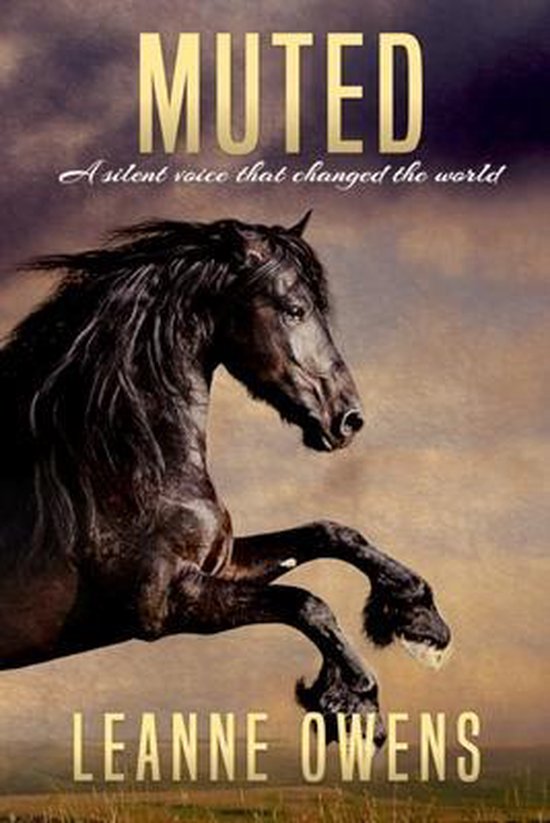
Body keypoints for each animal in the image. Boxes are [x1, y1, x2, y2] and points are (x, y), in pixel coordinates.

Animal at [0, 212, 450, 745]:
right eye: (295, 309)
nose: (348, 419)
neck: (113, 467)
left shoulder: (220, 564)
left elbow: (329, 534)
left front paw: (419, 618)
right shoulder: (166, 604)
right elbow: (306, 603)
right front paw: (354, 700)